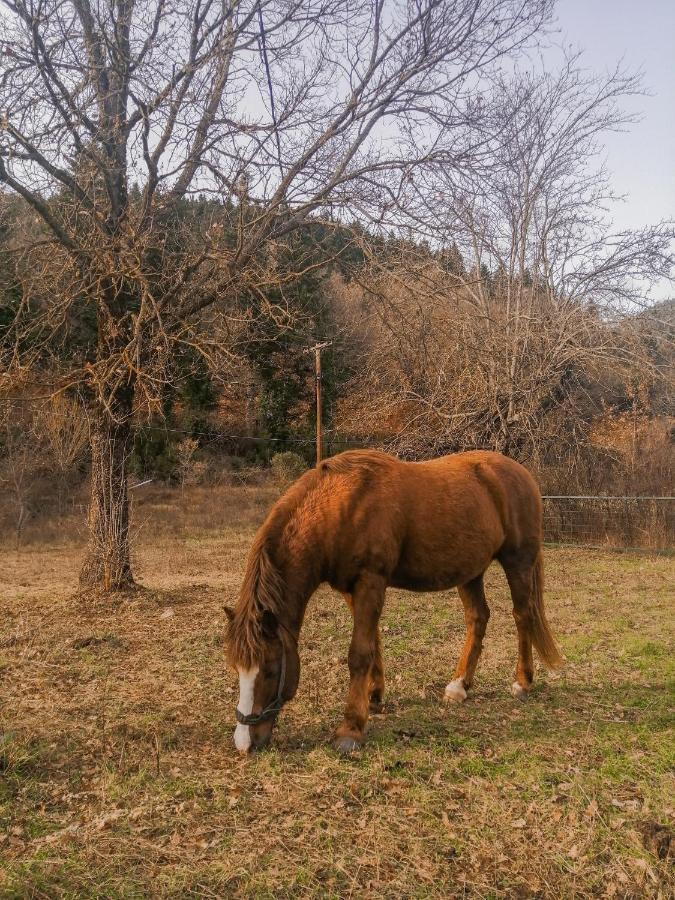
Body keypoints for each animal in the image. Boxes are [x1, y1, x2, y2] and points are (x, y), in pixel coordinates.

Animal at [224, 448, 564, 752]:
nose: (244, 744)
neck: (341, 507)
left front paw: (350, 729)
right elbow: (373, 642)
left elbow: (359, 653)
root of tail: (521, 474)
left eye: (270, 670)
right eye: (237, 669)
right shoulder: (352, 589)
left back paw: (522, 682)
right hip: (471, 572)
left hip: (518, 563)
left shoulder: (371, 581)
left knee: (523, 616)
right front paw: (373, 697)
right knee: (478, 618)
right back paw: (459, 686)